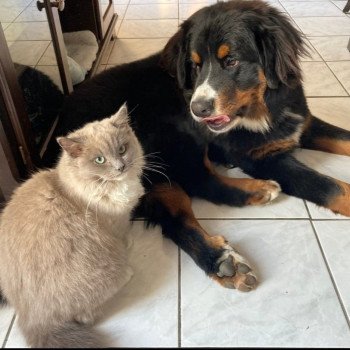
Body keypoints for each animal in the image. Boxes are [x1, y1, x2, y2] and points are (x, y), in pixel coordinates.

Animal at [0, 104, 145, 348]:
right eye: (99, 160)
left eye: (122, 149)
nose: (121, 166)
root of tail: (32, 319)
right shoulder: (117, 223)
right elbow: (123, 235)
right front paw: (130, 242)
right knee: (86, 316)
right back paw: (128, 272)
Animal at [43, 0, 350, 292]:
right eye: (195, 65)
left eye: (232, 61)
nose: (198, 109)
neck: (264, 110)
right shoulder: (260, 157)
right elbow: (328, 186)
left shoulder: (303, 123)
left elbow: (342, 138)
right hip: (169, 137)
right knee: (194, 188)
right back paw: (224, 255)